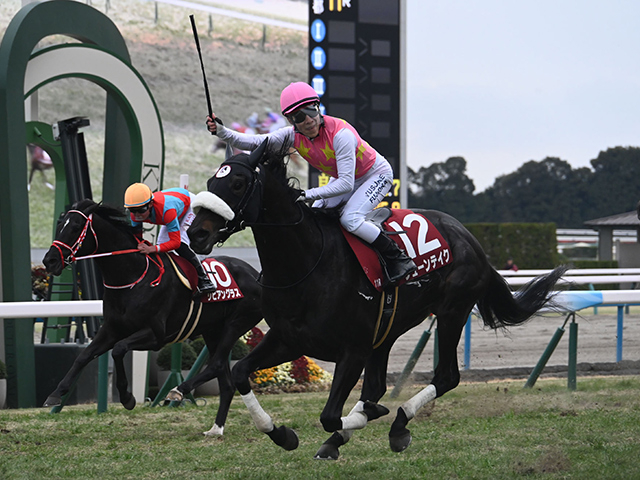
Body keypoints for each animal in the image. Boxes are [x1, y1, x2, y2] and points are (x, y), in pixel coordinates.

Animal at [42, 199, 263, 436]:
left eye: (75, 227)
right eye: (59, 225)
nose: (49, 261)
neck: (133, 277)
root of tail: (256, 274)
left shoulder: (156, 336)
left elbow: (119, 349)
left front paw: (127, 398)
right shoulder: (111, 329)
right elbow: (83, 356)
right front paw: (55, 394)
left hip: (236, 324)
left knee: (217, 363)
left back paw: (179, 391)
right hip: (213, 331)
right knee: (226, 382)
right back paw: (216, 429)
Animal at [186, 141, 567, 458]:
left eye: (237, 184)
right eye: (211, 180)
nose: (196, 233)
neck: (307, 264)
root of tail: (470, 238)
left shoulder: (352, 349)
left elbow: (330, 415)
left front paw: (363, 419)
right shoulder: (289, 339)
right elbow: (239, 372)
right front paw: (281, 433)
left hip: (452, 311)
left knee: (445, 377)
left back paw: (397, 424)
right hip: (388, 329)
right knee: (378, 385)